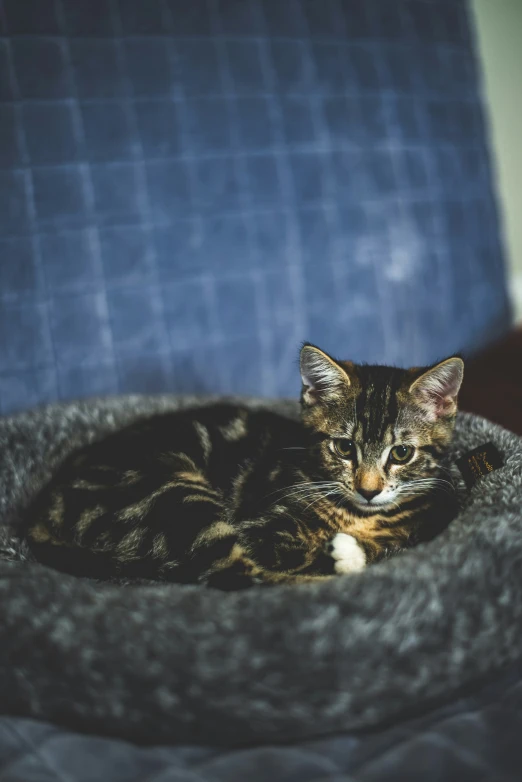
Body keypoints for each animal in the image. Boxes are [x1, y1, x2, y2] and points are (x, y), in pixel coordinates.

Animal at [24, 346, 464, 592]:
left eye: (401, 453)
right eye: (343, 447)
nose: (368, 489)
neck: (358, 517)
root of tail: (45, 503)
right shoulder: (258, 527)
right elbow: (289, 554)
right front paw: (345, 556)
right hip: (171, 495)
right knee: (234, 576)